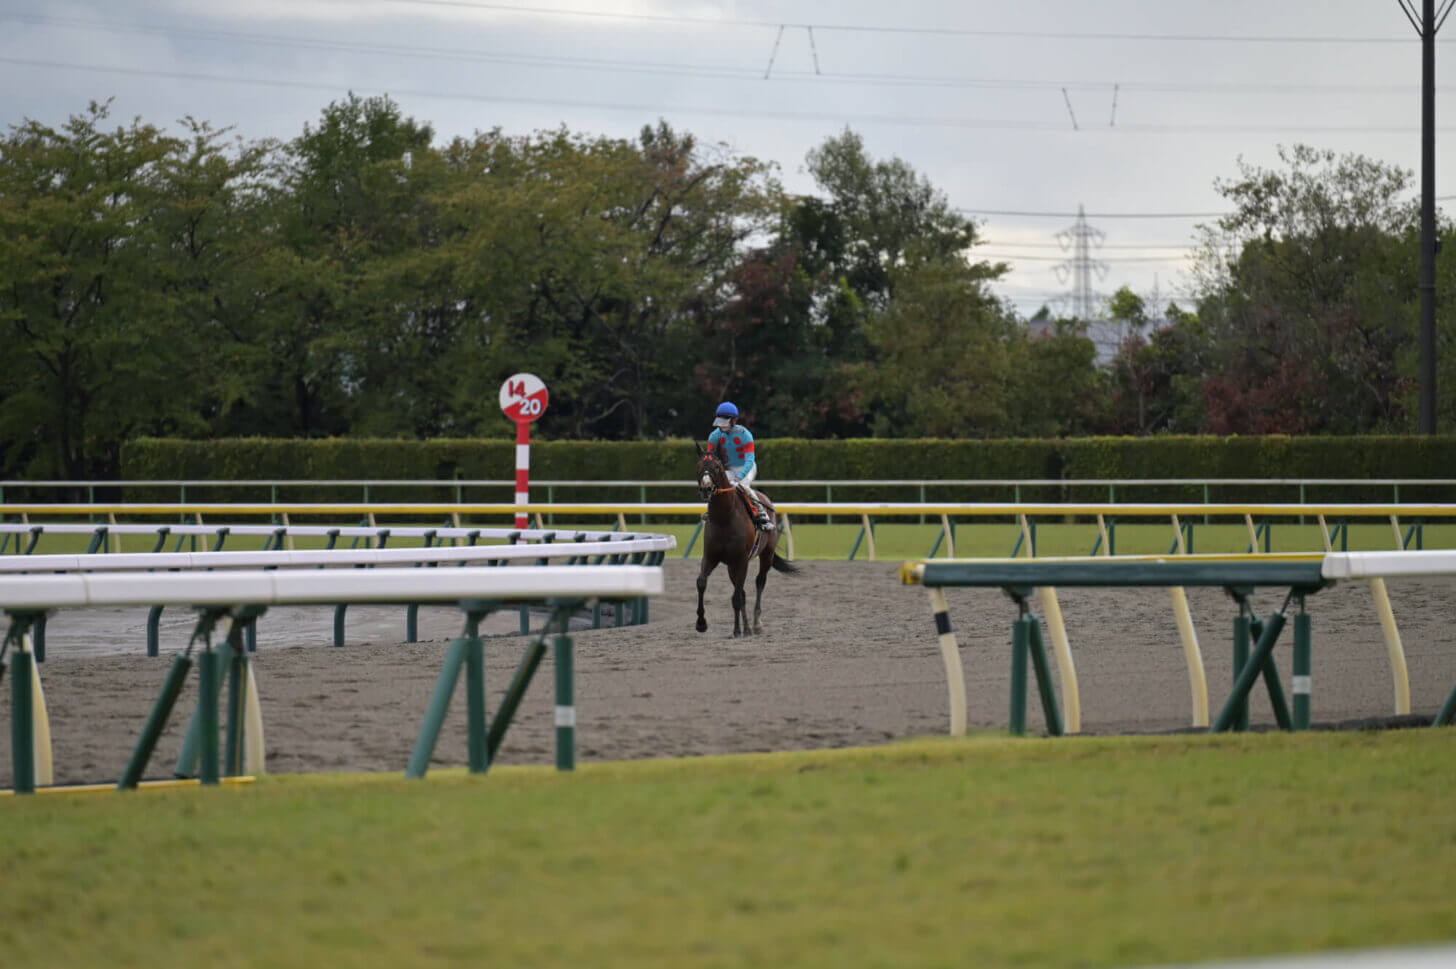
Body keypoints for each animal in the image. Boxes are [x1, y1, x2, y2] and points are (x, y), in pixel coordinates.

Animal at [693, 436, 797, 634]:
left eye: (717, 466)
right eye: (699, 465)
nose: (706, 489)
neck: (724, 518)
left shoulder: (741, 559)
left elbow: (737, 596)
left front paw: (737, 631)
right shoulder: (711, 556)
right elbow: (702, 582)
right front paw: (701, 623)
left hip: (766, 554)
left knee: (759, 582)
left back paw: (756, 624)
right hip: (732, 565)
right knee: (741, 590)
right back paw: (747, 626)